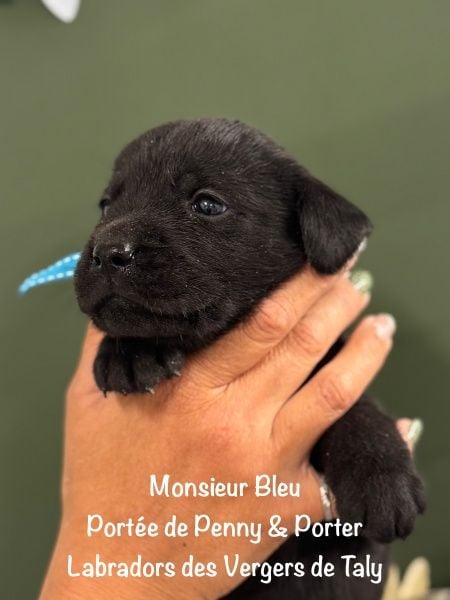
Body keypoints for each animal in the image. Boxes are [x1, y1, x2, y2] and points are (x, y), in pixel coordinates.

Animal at [75, 118, 425, 599]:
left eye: (207, 204)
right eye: (107, 204)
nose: (108, 251)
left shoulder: (326, 367)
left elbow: (357, 407)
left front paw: (381, 477)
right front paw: (129, 353)